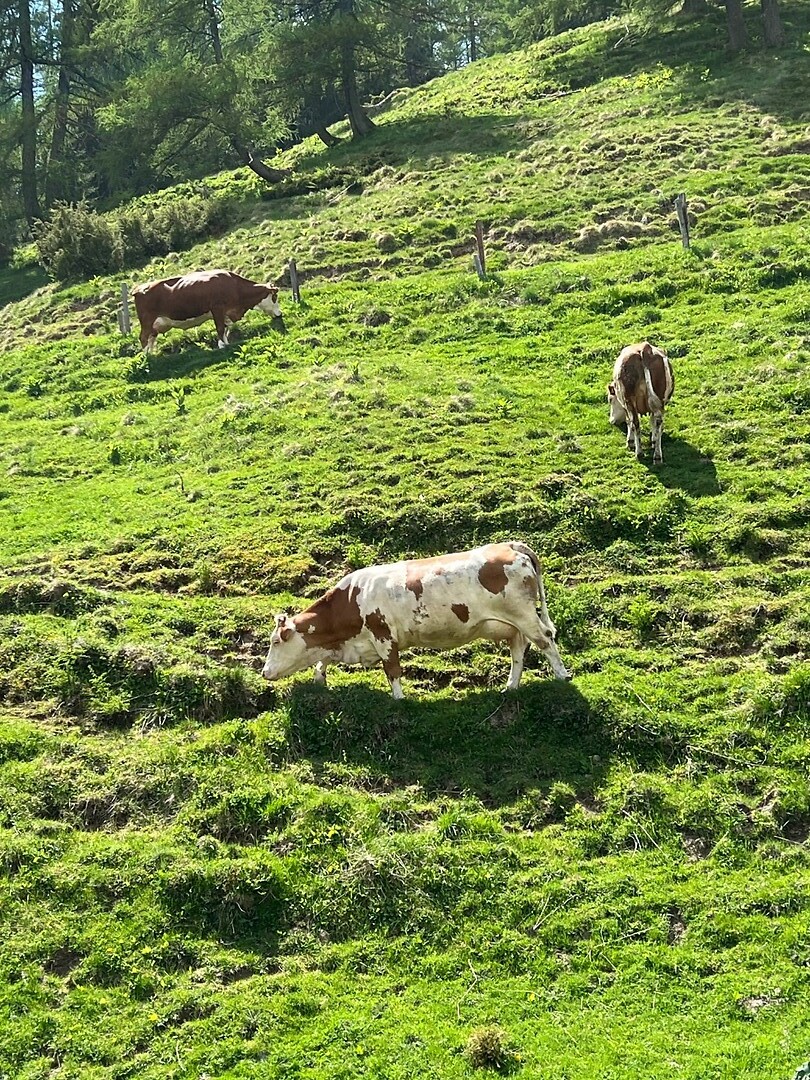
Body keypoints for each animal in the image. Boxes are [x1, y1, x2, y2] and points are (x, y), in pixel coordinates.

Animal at [132, 269, 282, 353]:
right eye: (275, 297)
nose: (280, 314)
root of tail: (139, 288)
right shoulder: (217, 308)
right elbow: (220, 328)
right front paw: (221, 345)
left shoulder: (226, 313)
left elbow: (225, 328)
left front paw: (226, 343)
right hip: (147, 321)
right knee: (143, 337)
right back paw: (147, 358)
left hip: (155, 325)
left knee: (151, 338)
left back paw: (152, 354)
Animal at [261, 542, 571, 699]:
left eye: (276, 642)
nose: (264, 672)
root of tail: (510, 545)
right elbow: (321, 661)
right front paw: (319, 678)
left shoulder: (384, 637)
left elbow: (393, 671)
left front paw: (399, 700)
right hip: (510, 623)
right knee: (519, 648)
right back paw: (511, 686)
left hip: (524, 614)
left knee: (544, 639)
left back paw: (562, 676)